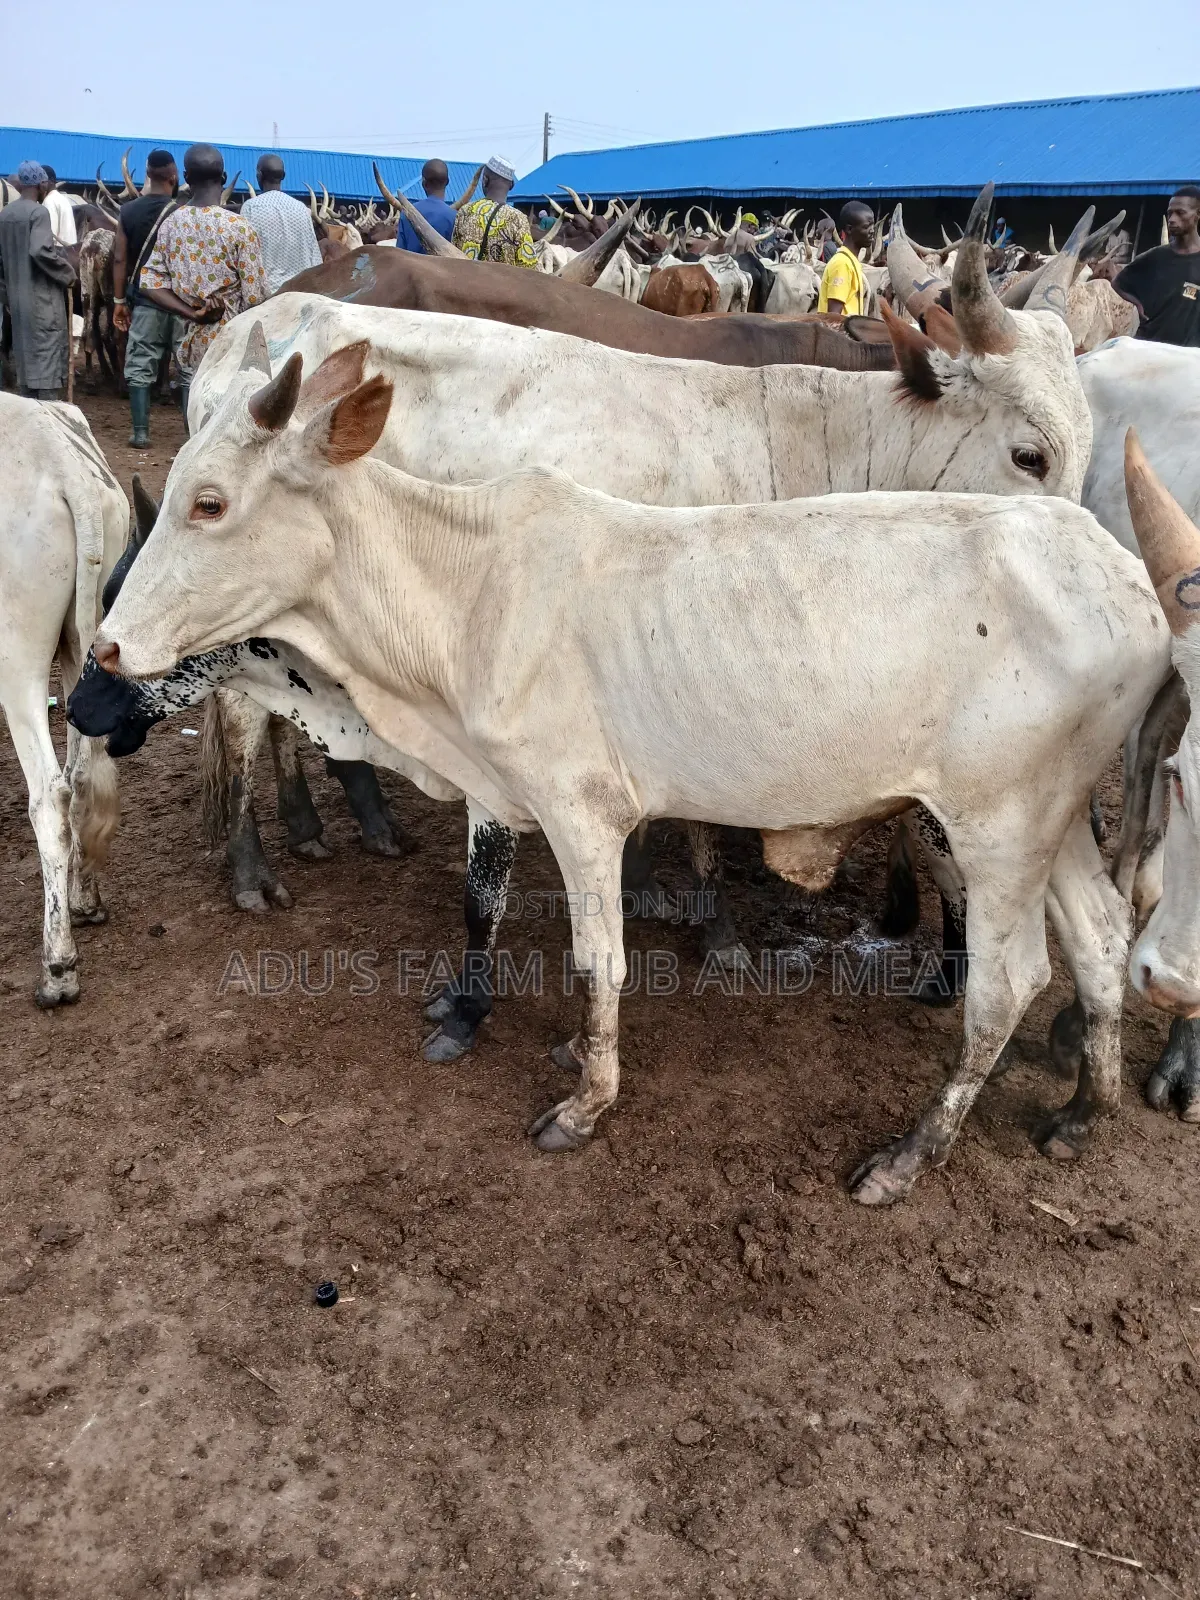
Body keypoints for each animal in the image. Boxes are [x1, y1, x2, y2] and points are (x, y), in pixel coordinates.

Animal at [83, 350, 1169, 1201]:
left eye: (210, 502)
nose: (101, 656)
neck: (465, 588)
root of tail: (1130, 587)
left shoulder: (582, 812)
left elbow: (597, 960)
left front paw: (584, 1100)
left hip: (996, 827)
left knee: (1008, 981)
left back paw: (910, 1152)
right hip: (1053, 825)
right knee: (1102, 937)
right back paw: (1085, 1108)